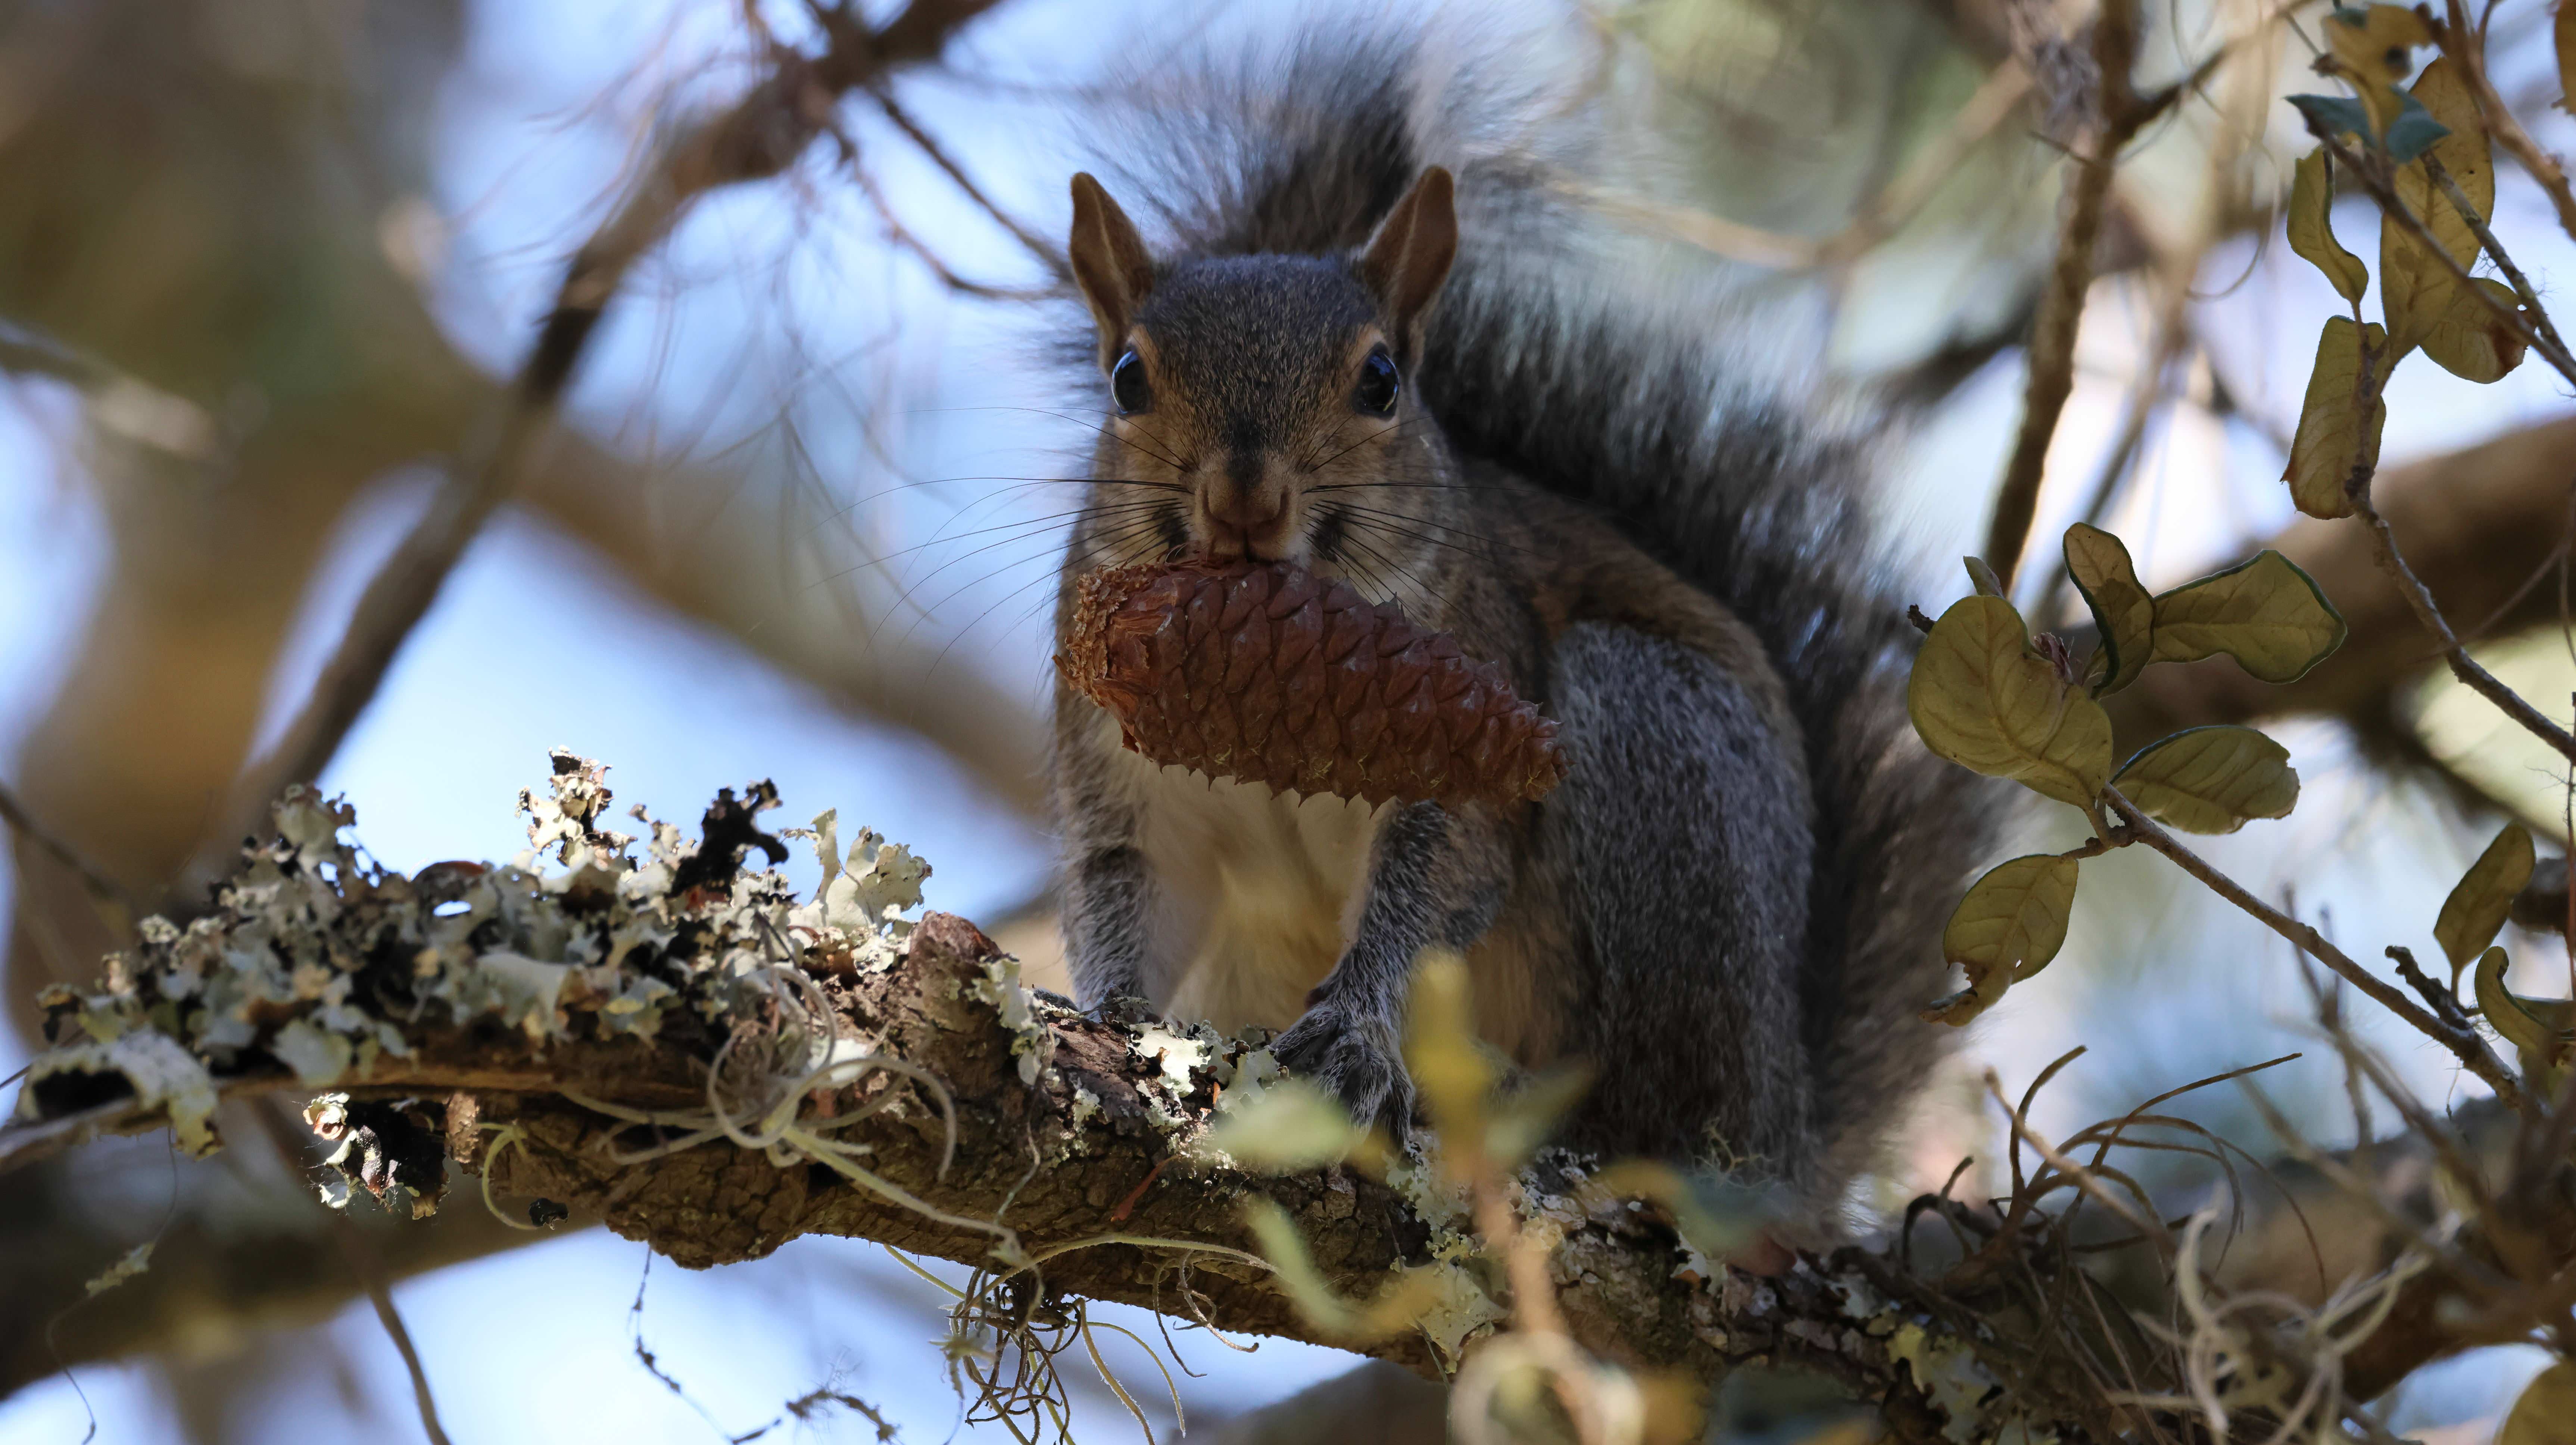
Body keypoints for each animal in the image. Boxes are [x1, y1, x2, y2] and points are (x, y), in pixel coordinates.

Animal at [1041, 28, 1989, 1215]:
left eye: (1381, 380)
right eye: (1126, 378)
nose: (1243, 499)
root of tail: (1786, 1139)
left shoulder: (1470, 740)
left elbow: (1432, 889)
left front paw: (1357, 1032)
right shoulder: (1122, 786)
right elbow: (1129, 892)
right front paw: (1105, 1017)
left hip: (1651, 750)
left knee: (1651, 1107)